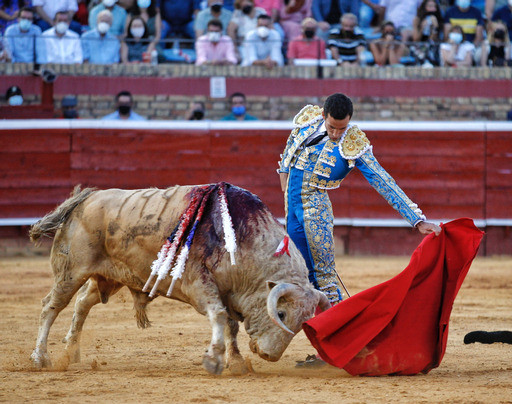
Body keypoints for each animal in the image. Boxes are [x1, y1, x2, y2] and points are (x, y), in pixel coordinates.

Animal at [30, 183, 330, 376]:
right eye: (280, 313)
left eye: (302, 324)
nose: (270, 355)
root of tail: (84, 200)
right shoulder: (199, 285)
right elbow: (219, 316)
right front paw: (214, 360)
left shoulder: (226, 292)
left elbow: (231, 326)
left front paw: (235, 362)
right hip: (71, 272)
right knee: (50, 306)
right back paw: (40, 358)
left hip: (109, 276)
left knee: (82, 303)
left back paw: (71, 351)